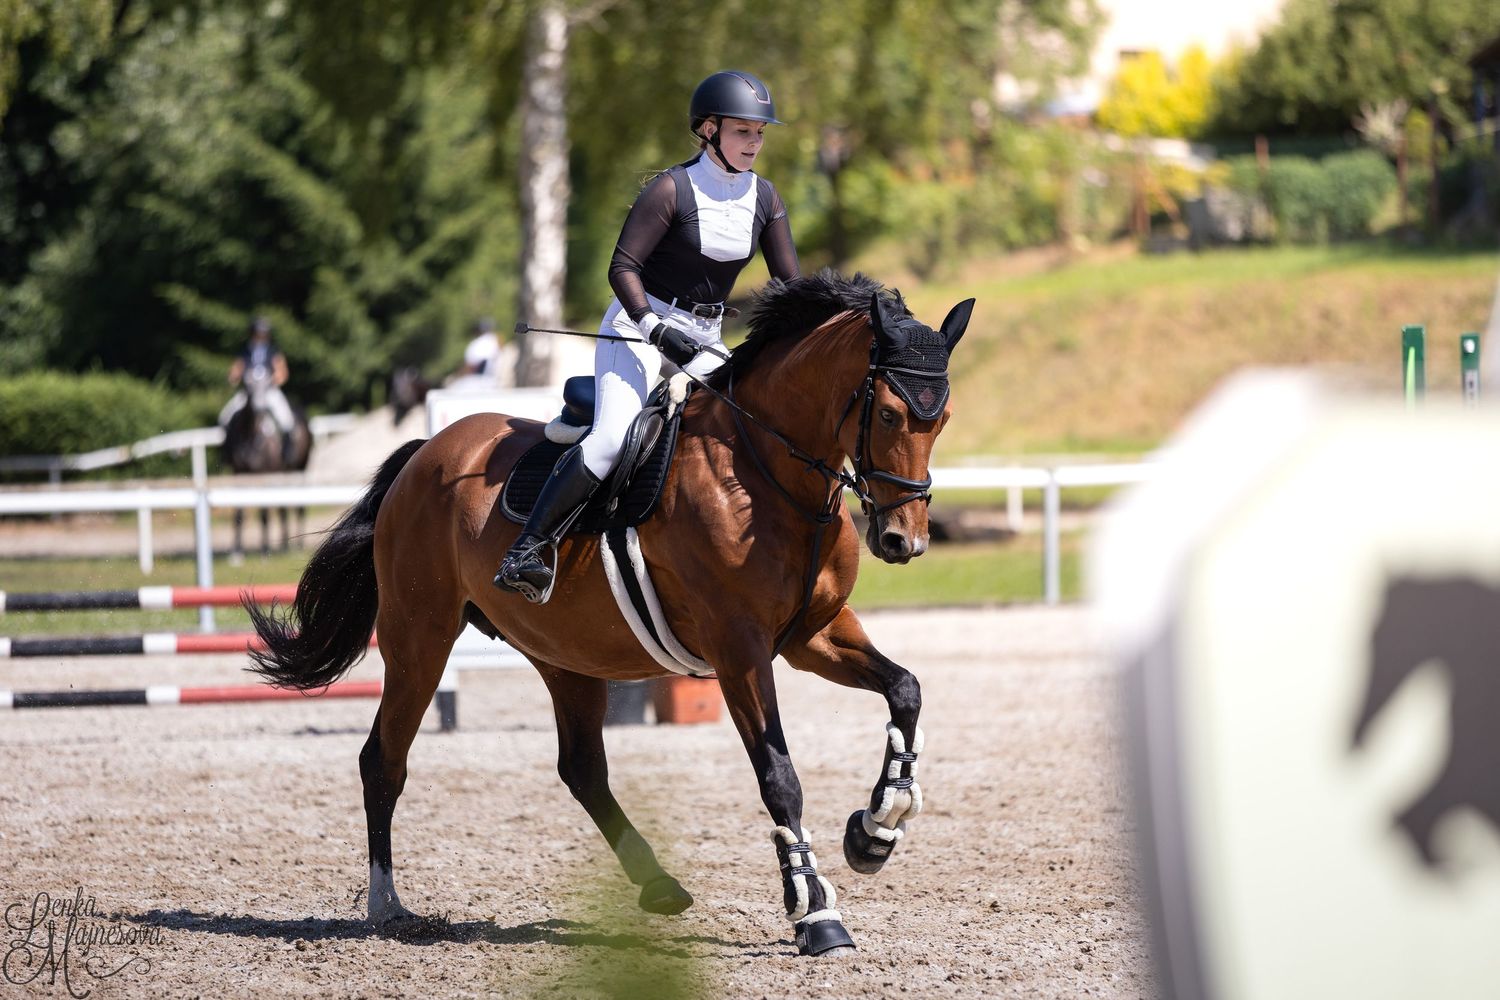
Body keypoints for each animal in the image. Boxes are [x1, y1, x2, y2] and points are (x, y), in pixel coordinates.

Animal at [222, 364, 312, 558]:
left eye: (267, 383)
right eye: (248, 384)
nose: (260, 407)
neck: (250, 433)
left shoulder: (265, 473)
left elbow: (264, 513)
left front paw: (264, 550)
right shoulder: (239, 473)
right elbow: (238, 512)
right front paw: (236, 552)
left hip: (300, 468)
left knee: (298, 505)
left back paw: (298, 545)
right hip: (283, 473)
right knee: (283, 508)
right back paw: (285, 545)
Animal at [247, 271, 974, 957]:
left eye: (941, 420)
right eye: (888, 415)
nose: (903, 541)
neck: (766, 474)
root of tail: (426, 452)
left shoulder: (812, 636)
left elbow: (905, 689)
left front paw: (878, 828)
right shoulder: (739, 651)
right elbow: (780, 777)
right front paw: (816, 913)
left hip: (564, 652)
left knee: (581, 769)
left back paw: (658, 885)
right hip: (419, 639)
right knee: (384, 760)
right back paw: (388, 906)